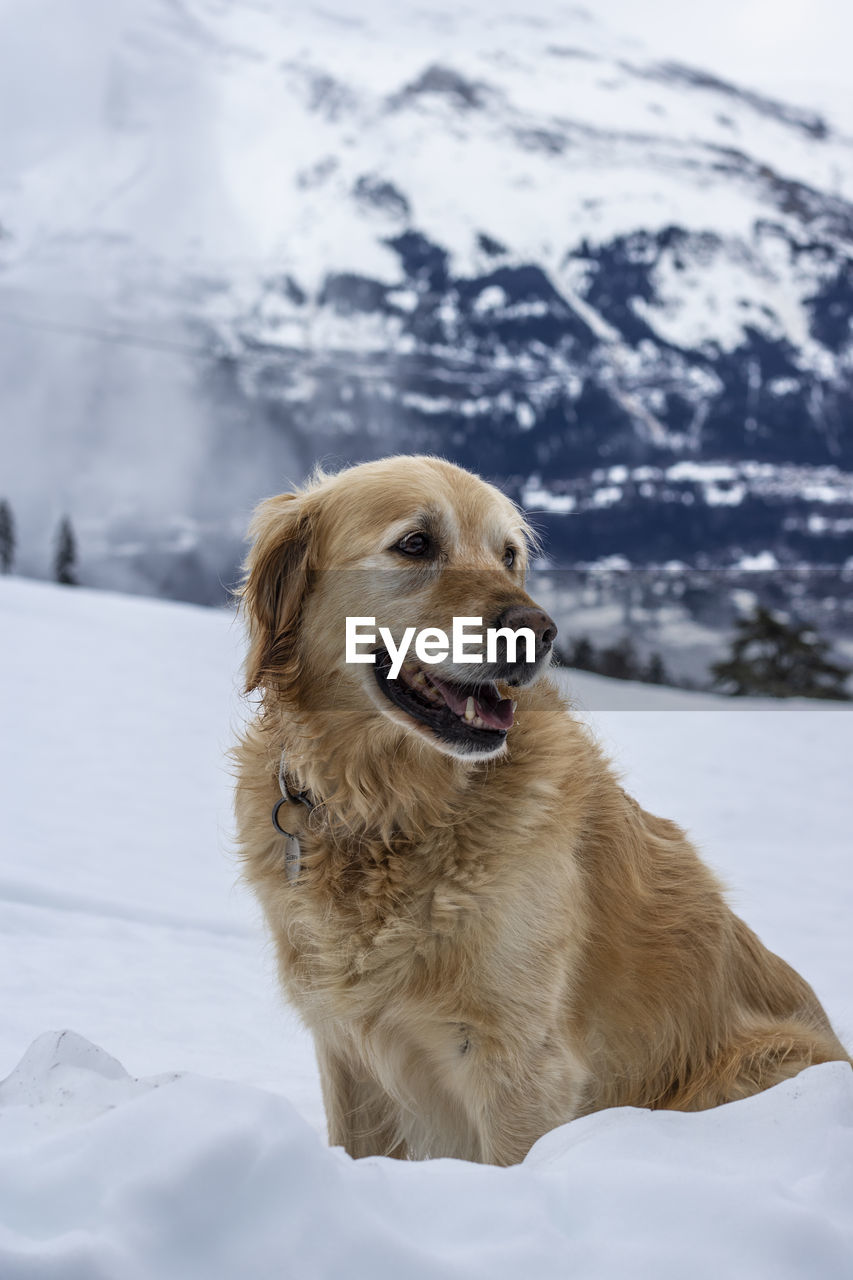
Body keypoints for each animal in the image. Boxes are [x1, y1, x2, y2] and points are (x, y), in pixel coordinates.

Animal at [230, 455, 845, 1167]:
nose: (539, 632)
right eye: (415, 543)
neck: (395, 812)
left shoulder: (521, 1062)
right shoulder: (348, 1051)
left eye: (509, 556)